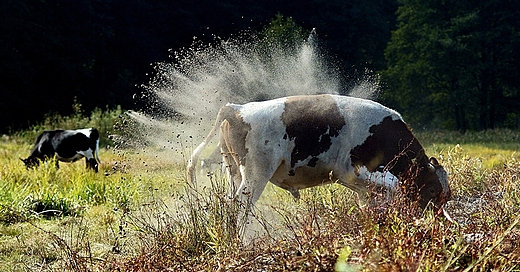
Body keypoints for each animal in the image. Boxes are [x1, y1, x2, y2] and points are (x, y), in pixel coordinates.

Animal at [187, 94, 450, 214]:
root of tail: (236, 108)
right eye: (433, 190)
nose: (436, 221)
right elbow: (394, 186)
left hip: (234, 172)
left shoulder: (357, 184)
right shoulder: (360, 170)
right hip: (255, 175)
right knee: (241, 207)